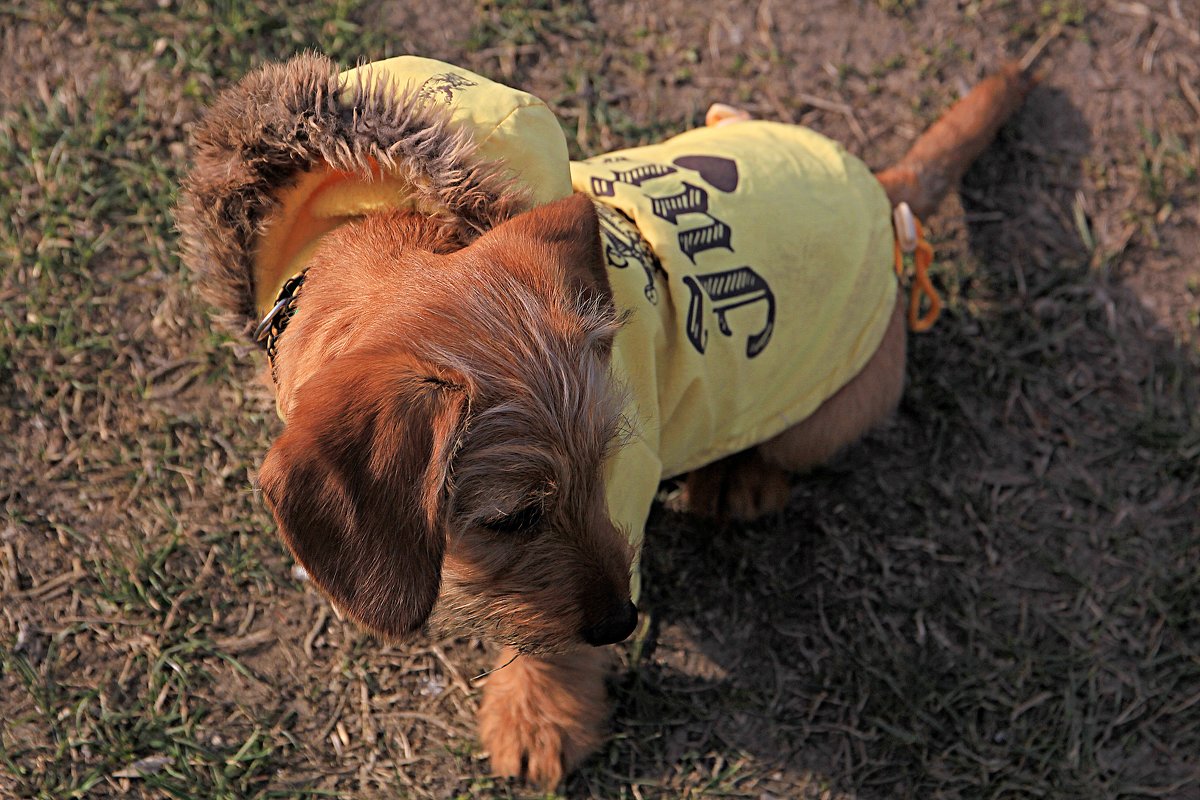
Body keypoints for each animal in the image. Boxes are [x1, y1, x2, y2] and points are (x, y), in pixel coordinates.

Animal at [177, 54, 1032, 786]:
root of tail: (885, 192)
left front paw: (540, 716)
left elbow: (553, 640)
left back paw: (743, 477)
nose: (624, 621)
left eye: (604, 468)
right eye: (513, 517)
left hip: (826, 411)